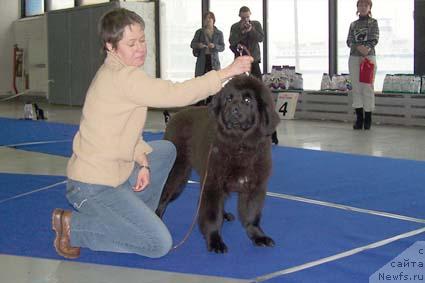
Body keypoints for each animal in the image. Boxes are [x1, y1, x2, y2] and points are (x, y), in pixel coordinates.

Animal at [155, 75, 278, 253]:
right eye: (229, 99)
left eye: (248, 100)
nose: (233, 109)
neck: (240, 144)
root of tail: (174, 116)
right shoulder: (213, 183)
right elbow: (212, 215)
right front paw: (215, 241)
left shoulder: (255, 186)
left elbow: (252, 214)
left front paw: (258, 236)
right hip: (178, 174)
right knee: (164, 196)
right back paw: (157, 217)